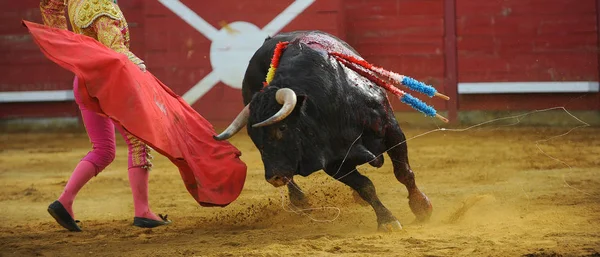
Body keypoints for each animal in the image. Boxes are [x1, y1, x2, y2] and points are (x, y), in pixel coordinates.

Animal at [213, 30, 438, 230]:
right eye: (255, 139)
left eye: (282, 127)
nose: (273, 178)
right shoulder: (333, 162)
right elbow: (365, 186)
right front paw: (387, 221)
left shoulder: (391, 130)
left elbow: (403, 173)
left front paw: (421, 207)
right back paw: (300, 200)